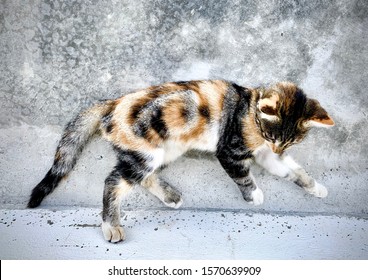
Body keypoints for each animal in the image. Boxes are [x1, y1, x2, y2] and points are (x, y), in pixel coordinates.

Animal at [27, 80, 334, 242]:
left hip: (164, 150)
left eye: (290, 142)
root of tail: (112, 103)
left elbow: (292, 171)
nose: (276, 145)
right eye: (271, 134)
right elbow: (243, 175)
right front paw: (253, 194)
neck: (248, 108)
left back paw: (170, 196)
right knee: (114, 181)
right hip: (147, 151)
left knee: (141, 177)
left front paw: (316, 187)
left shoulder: (267, 155)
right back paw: (111, 225)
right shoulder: (230, 150)